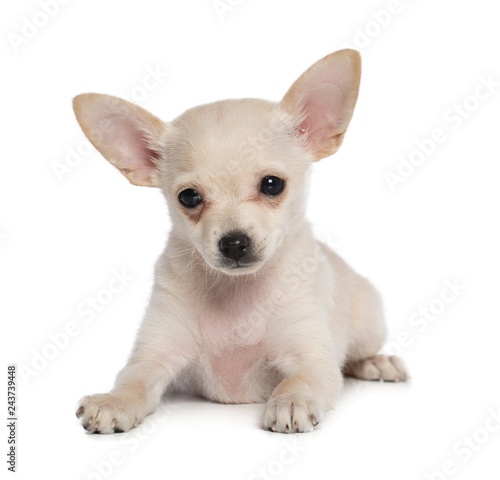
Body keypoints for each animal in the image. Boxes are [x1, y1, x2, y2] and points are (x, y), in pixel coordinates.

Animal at [72, 49, 406, 436]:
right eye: (189, 197)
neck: (237, 292)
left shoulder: (313, 360)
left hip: (368, 321)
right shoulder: (154, 355)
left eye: (272, 184)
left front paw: (291, 401)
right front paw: (113, 401)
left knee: (356, 355)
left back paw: (377, 363)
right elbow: (133, 380)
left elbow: (301, 380)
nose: (233, 243)